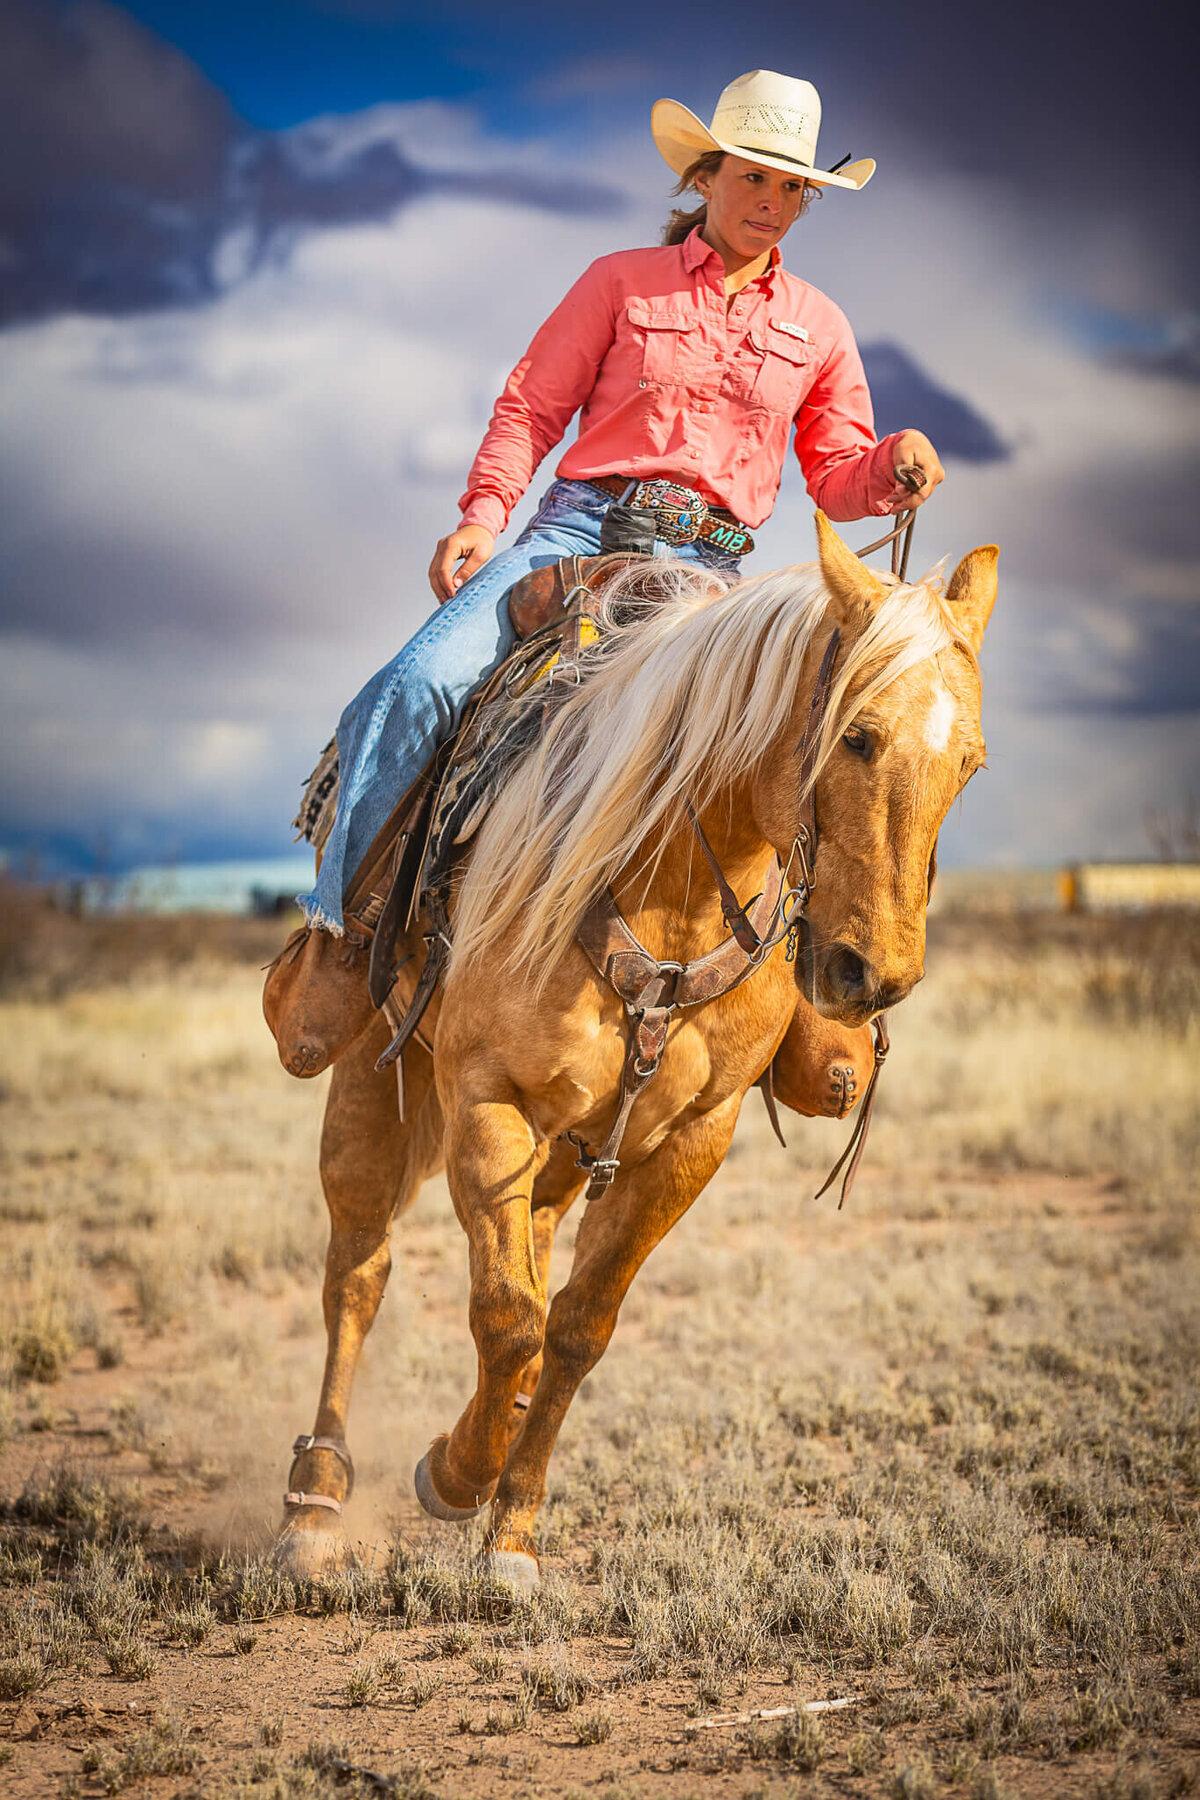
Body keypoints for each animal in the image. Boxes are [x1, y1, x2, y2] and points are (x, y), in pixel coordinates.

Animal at [277, 514, 1000, 1584]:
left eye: (971, 766)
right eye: (857, 736)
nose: (875, 975)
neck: (667, 892)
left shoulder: (690, 1141)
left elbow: (576, 1324)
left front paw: (511, 1525)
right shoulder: (486, 1098)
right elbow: (506, 1314)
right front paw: (454, 1477)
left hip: (567, 1146)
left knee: (526, 1251)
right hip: (377, 1082)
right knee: (358, 1273)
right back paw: (314, 1507)